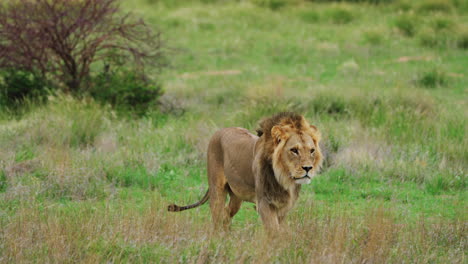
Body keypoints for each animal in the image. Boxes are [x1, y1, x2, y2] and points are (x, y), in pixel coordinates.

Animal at [168, 112, 322, 231]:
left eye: (312, 150)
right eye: (294, 150)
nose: (308, 168)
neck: (284, 178)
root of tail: (219, 131)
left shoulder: (284, 207)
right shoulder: (264, 203)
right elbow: (274, 231)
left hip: (236, 196)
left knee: (226, 213)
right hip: (217, 188)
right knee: (217, 215)